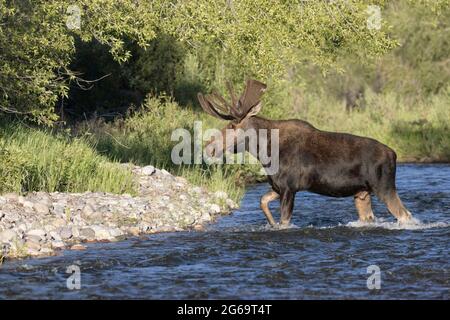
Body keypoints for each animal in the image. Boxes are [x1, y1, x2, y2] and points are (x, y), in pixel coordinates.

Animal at [199, 79, 414, 226]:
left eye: (232, 125)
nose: (209, 147)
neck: (265, 152)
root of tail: (394, 154)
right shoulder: (277, 186)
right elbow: (262, 202)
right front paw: (271, 223)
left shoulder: (290, 188)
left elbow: (284, 221)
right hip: (362, 193)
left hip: (384, 187)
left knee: (405, 215)